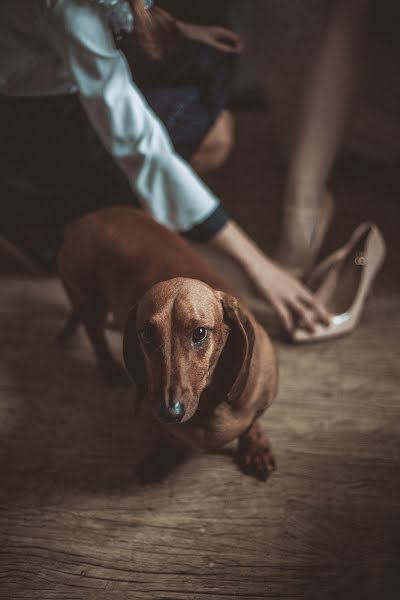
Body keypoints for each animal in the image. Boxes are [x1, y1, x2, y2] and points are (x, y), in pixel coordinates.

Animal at [58, 206, 278, 478]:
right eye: (146, 335)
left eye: (200, 333)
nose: (168, 412)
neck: (209, 406)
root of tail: (86, 218)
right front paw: (160, 454)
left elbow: (252, 422)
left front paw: (256, 446)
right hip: (89, 296)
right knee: (94, 332)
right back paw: (109, 367)